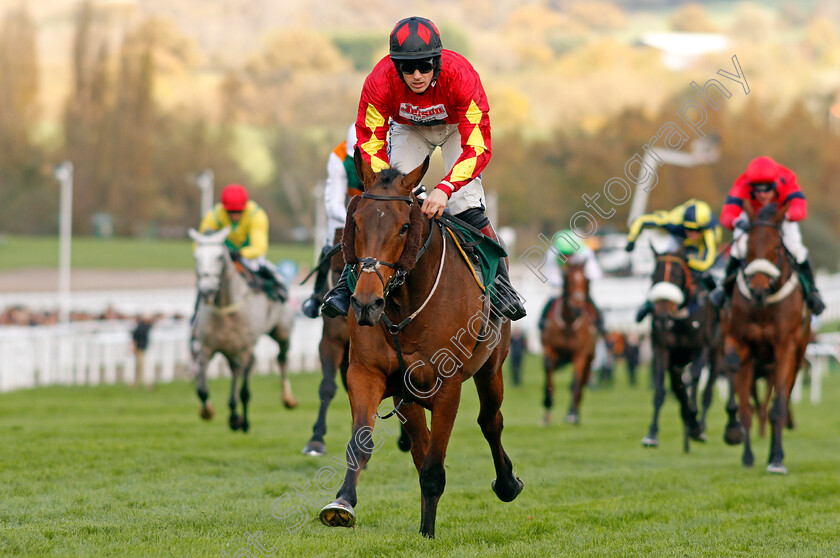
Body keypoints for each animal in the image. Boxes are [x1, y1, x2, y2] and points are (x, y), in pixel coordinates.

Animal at [189, 228, 296, 434]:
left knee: (282, 359)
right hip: (231, 349)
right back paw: (233, 415)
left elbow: (245, 391)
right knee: (235, 371)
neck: (226, 307)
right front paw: (207, 411)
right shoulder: (206, 348)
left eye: (219, 257)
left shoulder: (247, 349)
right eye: (196, 256)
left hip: (282, 332)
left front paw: (245, 422)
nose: (206, 290)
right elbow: (202, 390)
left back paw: (288, 398)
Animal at [318, 152, 520, 540]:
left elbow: (435, 464)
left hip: (491, 367)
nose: (366, 303)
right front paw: (342, 503)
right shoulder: (367, 372)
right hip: (406, 395)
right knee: (421, 444)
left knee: (491, 420)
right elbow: (362, 442)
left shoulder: (448, 386)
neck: (405, 305)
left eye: (404, 227)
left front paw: (428, 532)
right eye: (356, 223)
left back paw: (506, 484)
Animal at [540, 262, 596, 424]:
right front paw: (548, 403)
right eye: (568, 279)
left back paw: (575, 411)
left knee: (582, 380)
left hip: (591, 356)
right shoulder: (549, 348)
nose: (577, 305)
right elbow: (549, 370)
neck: (569, 323)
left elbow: (576, 379)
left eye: (586, 280)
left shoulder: (581, 354)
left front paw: (571, 413)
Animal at [720, 203, 812, 474]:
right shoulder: (737, 340)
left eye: (777, 248)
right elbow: (735, 379)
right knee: (750, 405)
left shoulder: (786, 348)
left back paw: (774, 453)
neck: (763, 307)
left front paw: (777, 459)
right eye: (747, 248)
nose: (759, 289)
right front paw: (734, 433)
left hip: (797, 355)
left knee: (781, 398)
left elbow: (778, 406)